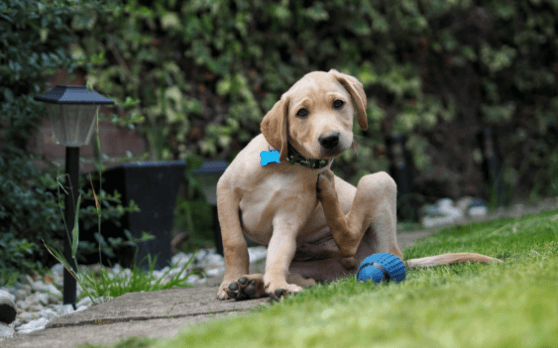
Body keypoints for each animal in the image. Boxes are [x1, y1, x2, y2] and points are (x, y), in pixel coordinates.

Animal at [215, 69, 504, 300]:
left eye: (338, 103)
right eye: (301, 113)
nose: (330, 139)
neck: (288, 165)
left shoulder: (288, 219)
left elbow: (277, 254)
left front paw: (276, 284)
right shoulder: (225, 191)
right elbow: (234, 243)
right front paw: (231, 282)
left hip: (377, 180)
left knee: (348, 240)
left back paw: (327, 190)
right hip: (316, 266)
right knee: (310, 280)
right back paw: (251, 284)